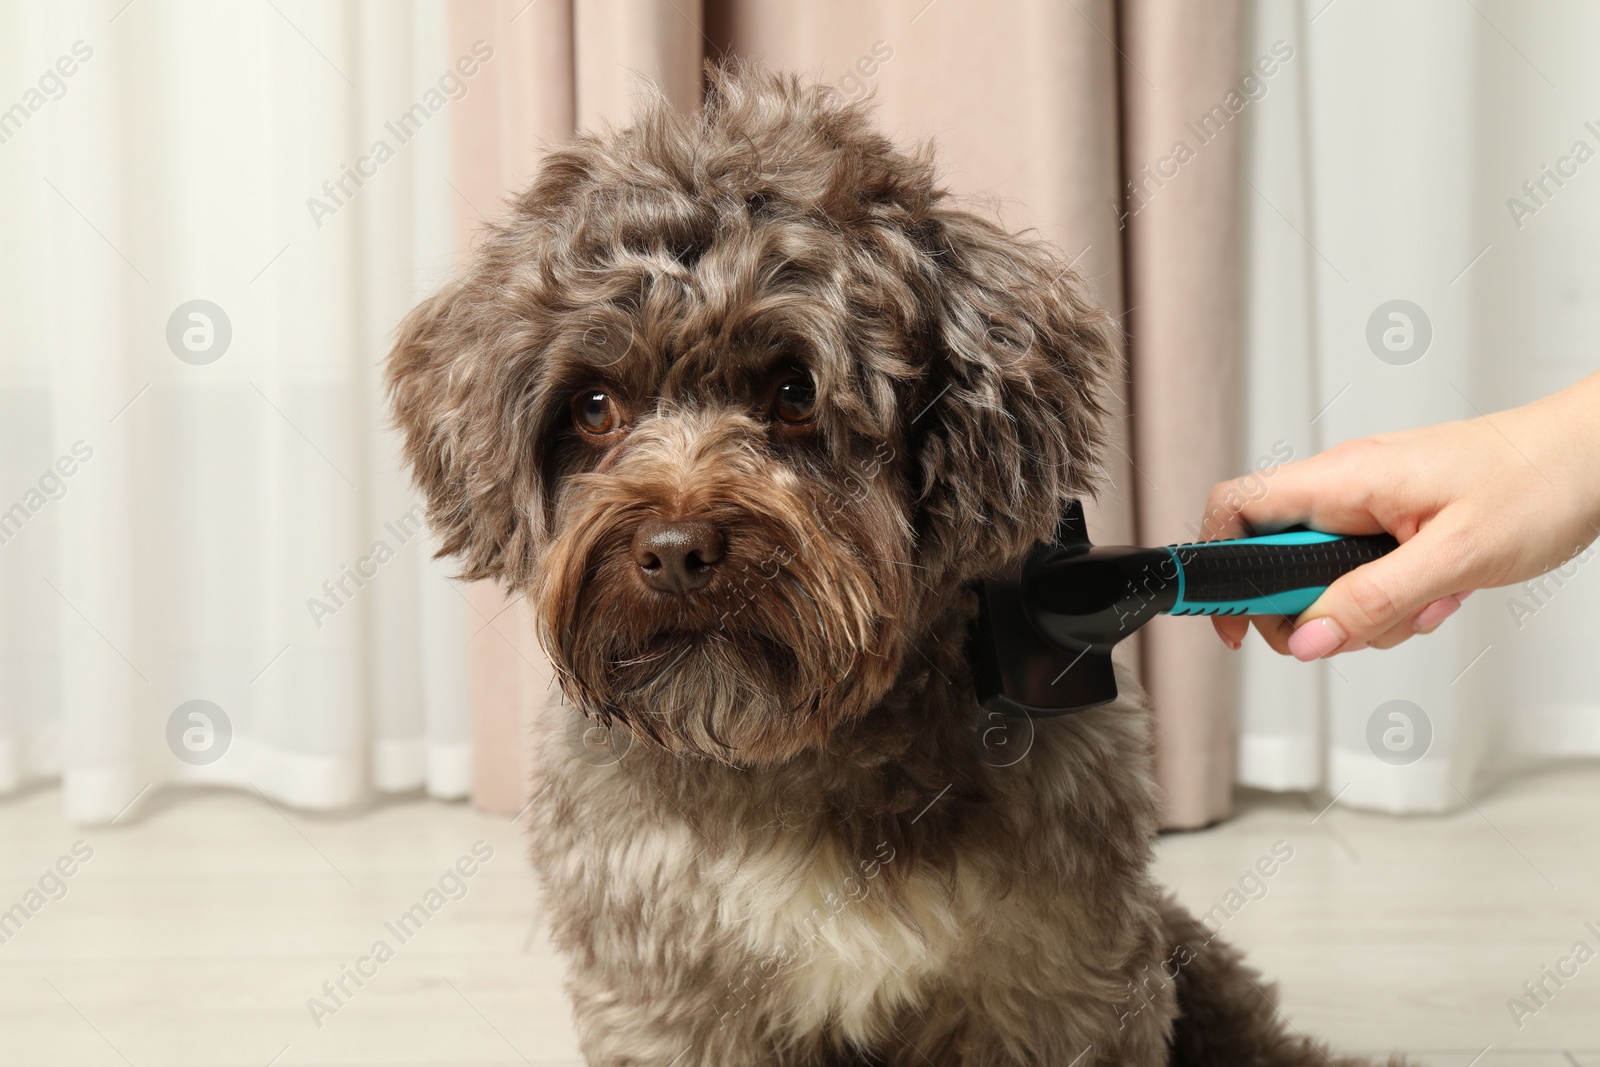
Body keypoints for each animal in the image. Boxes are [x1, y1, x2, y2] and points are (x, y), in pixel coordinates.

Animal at [390, 64, 1401, 1067]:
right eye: (594, 406)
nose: (676, 555)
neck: (803, 751)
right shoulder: (666, 992)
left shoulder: (1063, 980)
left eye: (795, 391)